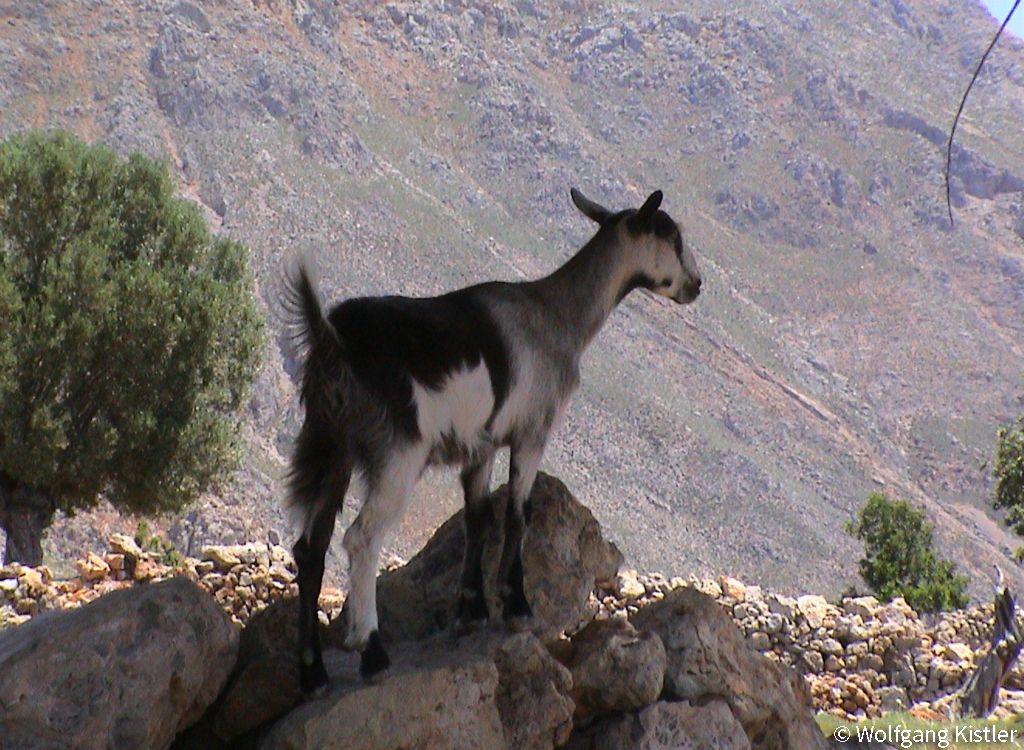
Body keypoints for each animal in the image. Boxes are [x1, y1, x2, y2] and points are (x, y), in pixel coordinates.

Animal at [288, 187, 704, 692]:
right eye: (673, 237)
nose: (696, 285)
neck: (556, 316)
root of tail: (334, 338)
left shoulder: (479, 445)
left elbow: (477, 517)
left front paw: (472, 609)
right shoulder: (532, 431)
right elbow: (517, 513)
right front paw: (516, 604)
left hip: (329, 445)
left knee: (310, 547)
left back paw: (313, 671)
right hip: (396, 453)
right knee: (361, 539)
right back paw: (372, 652)